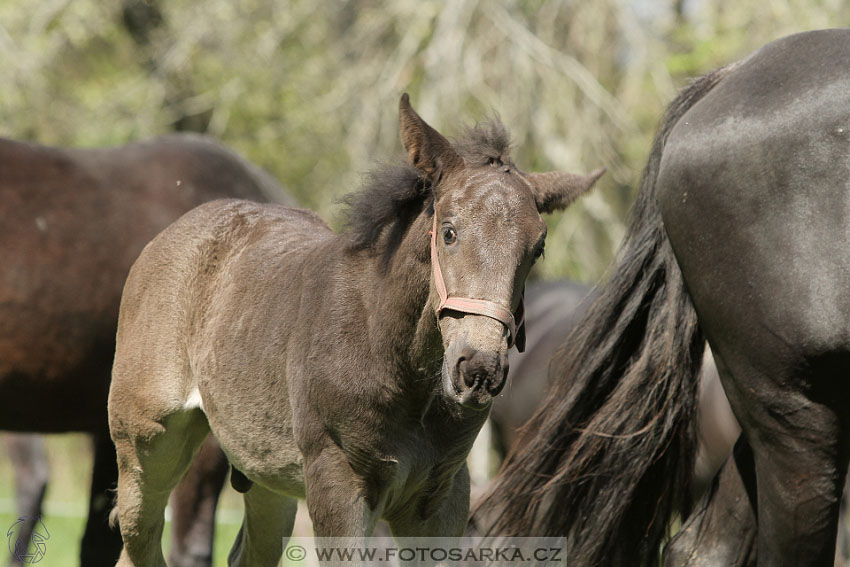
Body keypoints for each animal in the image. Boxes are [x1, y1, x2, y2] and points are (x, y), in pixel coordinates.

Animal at [106, 95, 600, 564]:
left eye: (537, 248)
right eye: (450, 232)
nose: (478, 369)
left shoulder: (442, 498)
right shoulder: (338, 483)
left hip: (266, 476)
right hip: (146, 448)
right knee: (137, 547)